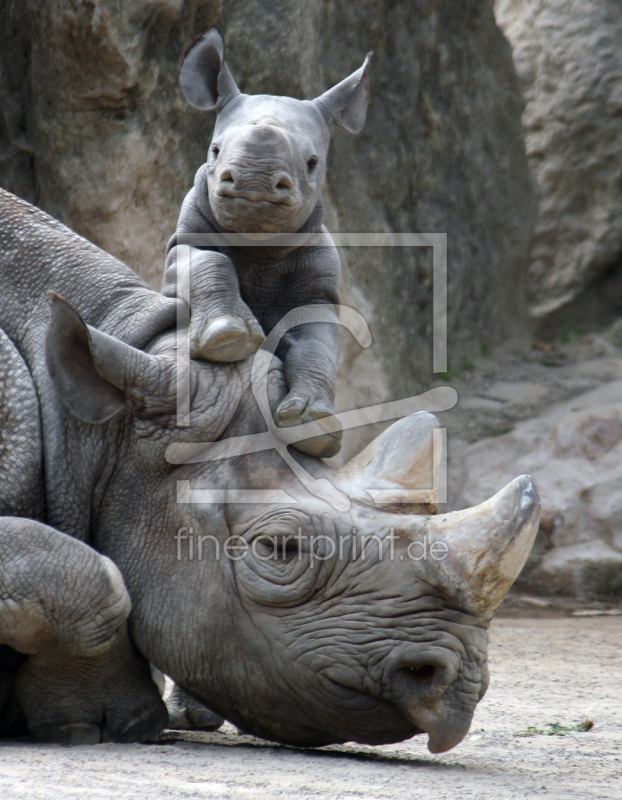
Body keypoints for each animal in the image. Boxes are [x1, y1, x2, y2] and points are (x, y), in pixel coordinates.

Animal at [163, 28, 372, 456]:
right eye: (214, 150)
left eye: (312, 163)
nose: (254, 181)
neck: (259, 241)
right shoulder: (180, 246)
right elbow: (205, 262)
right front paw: (226, 338)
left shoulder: (316, 288)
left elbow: (316, 343)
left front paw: (314, 426)